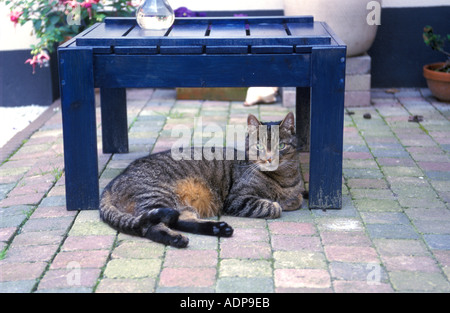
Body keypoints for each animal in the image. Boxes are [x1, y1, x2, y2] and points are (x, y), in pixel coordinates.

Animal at [100, 111, 304, 246]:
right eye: (259, 147)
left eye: (281, 146)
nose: (269, 158)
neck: (284, 178)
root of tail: (110, 185)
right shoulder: (237, 199)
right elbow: (272, 206)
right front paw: (277, 203)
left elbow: (298, 198)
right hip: (157, 196)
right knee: (149, 226)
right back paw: (176, 238)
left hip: (177, 206)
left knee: (178, 220)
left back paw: (218, 228)